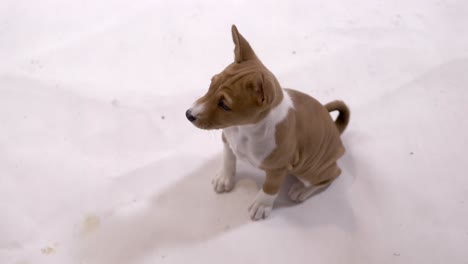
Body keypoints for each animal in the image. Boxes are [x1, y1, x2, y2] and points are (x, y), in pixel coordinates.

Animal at [185, 25, 350, 221]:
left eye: (225, 105)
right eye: (211, 84)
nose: (188, 114)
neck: (244, 129)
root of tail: (336, 131)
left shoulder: (278, 169)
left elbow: (270, 188)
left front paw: (261, 205)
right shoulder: (227, 141)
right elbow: (228, 160)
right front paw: (224, 178)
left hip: (310, 170)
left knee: (332, 175)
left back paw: (302, 191)